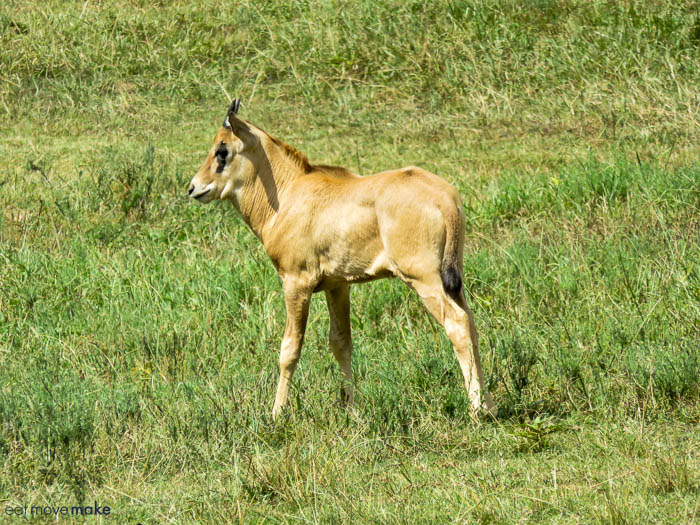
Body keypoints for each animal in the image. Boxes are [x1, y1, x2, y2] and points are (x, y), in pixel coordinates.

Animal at [187, 98, 498, 418]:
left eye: (222, 149)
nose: (194, 187)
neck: (290, 191)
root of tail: (444, 198)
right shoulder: (338, 286)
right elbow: (341, 343)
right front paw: (352, 408)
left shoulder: (296, 284)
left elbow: (290, 348)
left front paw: (276, 414)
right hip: (453, 281)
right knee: (471, 323)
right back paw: (489, 404)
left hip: (423, 280)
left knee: (457, 324)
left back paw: (477, 410)